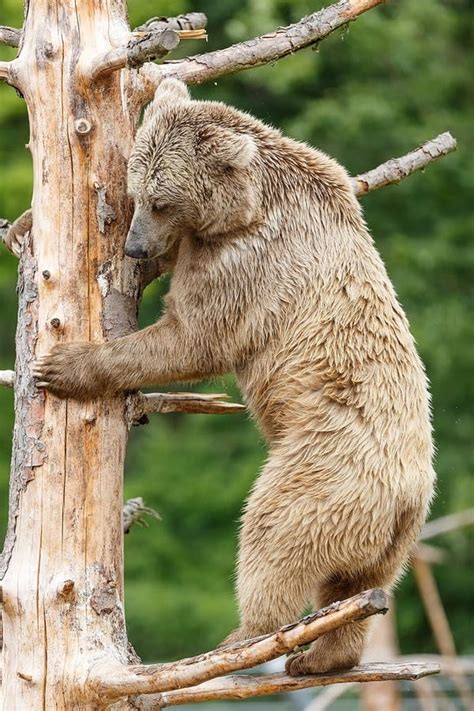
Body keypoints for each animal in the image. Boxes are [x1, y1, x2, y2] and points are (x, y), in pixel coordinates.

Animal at [34, 78, 435, 674]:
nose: (134, 245)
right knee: (359, 586)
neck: (247, 205)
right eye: (136, 190)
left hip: (325, 469)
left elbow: (194, 337)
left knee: (275, 534)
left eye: (162, 200)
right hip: (394, 536)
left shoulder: (248, 263)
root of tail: (408, 494)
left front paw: (62, 366)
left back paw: (243, 639)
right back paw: (323, 657)